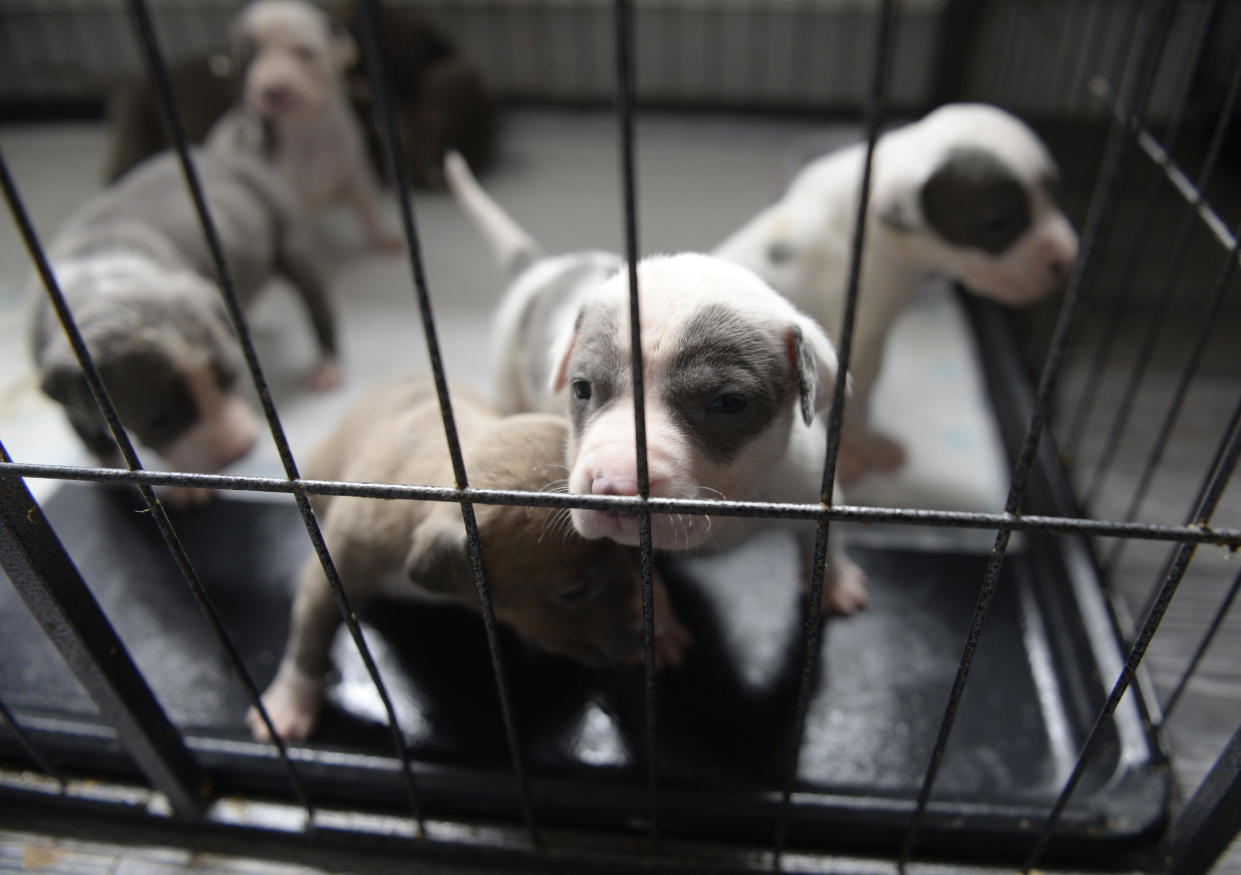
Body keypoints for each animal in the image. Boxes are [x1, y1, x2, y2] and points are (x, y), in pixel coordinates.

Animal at [30, 146, 340, 501]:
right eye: (161, 419)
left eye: (231, 379)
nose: (239, 450)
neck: (109, 286)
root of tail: (223, 153)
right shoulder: (67, 390)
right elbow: (88, 431)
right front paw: (111, 470)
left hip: (289, 235)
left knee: (316, 301)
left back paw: (326, 364)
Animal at [209, 0, 402, 253]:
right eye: (249, 58)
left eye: (304, 52)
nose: (274, 91)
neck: (308, 128)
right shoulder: (287, 196)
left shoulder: (355, 171)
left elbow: (366, 204)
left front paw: (381, 236)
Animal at [246, 372, 694, 739]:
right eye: (571, 592)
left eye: (635, 556)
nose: (646, 631)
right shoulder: (344, 558)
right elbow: (313, 624)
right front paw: (291, 700)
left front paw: (665, 622)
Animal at [444, 153, 863, 615]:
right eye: (582, 389)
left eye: (729, 403)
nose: (615, 488)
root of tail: (543, 268)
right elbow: (641, 577)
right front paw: (659, 623)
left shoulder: (810, 484)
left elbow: (823, 537)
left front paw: (834, 583)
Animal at [714, 104, 1082, 484]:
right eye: (997, 222)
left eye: (1055, 193)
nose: (1069, 260)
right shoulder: (859, 345)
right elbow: (854, 407)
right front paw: (856, 454)